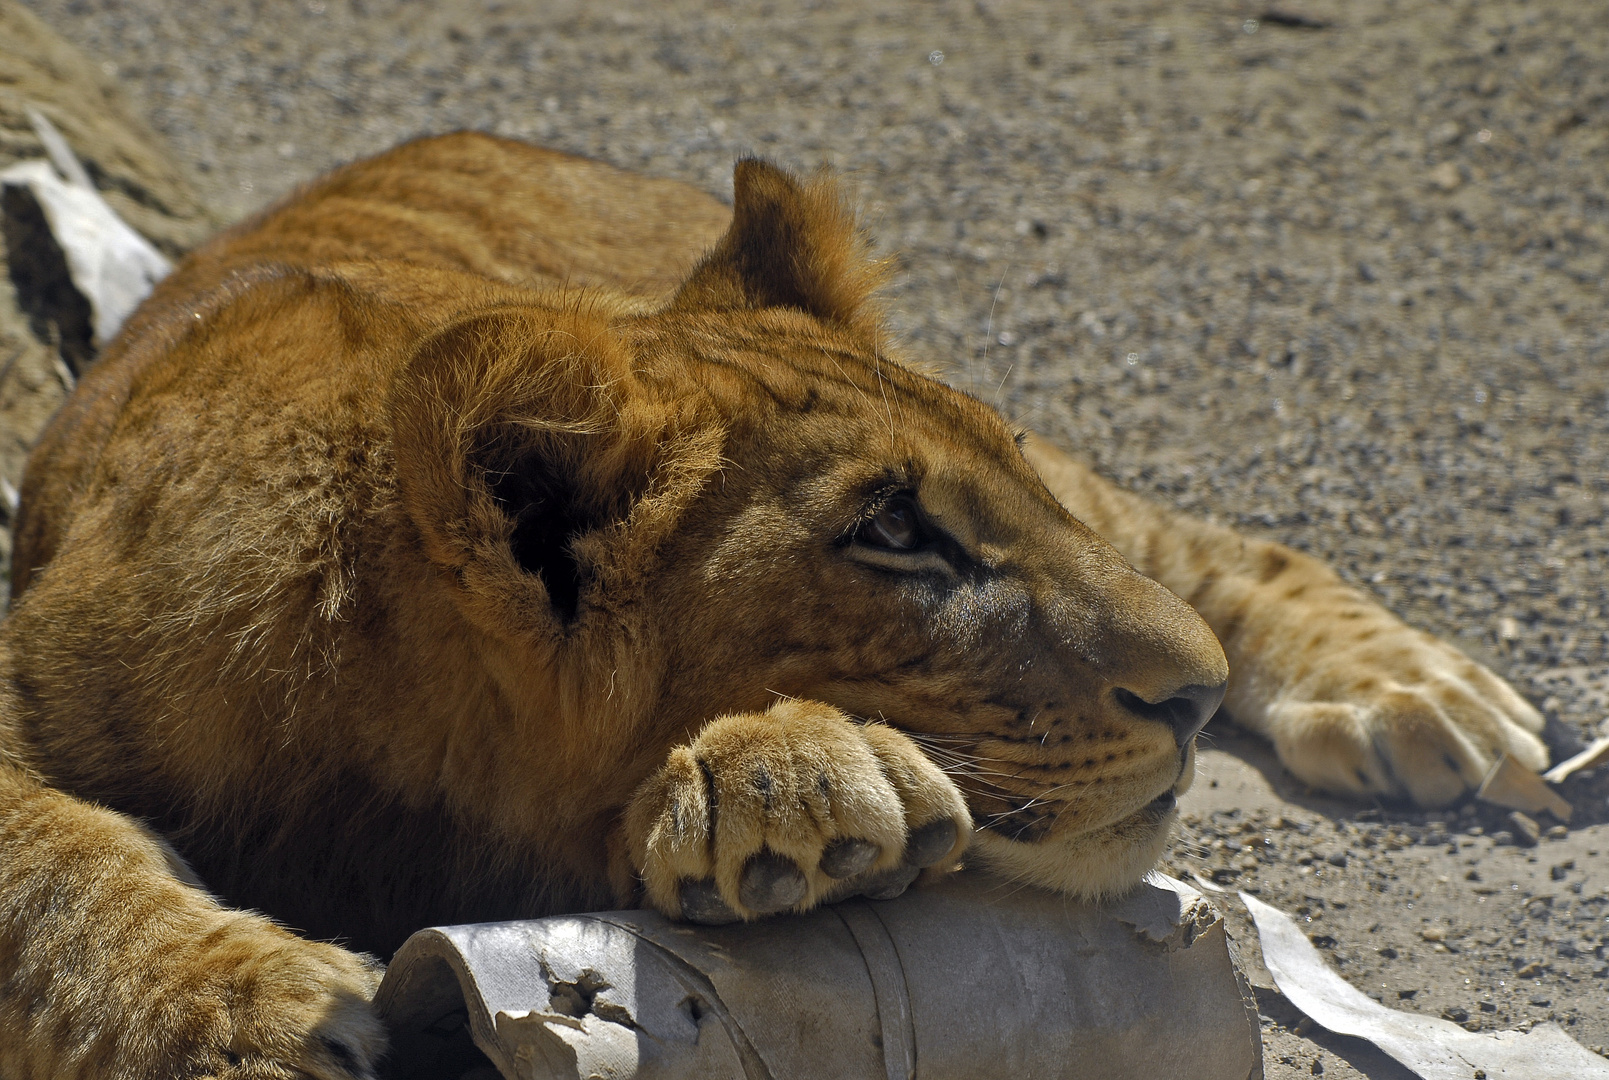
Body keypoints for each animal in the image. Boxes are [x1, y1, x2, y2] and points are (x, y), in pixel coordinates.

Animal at [0, 131, 1538, 1075]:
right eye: (895, 535)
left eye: (988, 498)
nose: (1200, 695)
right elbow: (47, 856)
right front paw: (259, 1015)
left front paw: (785, 780)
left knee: (1213, 545)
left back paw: (1417, 698)